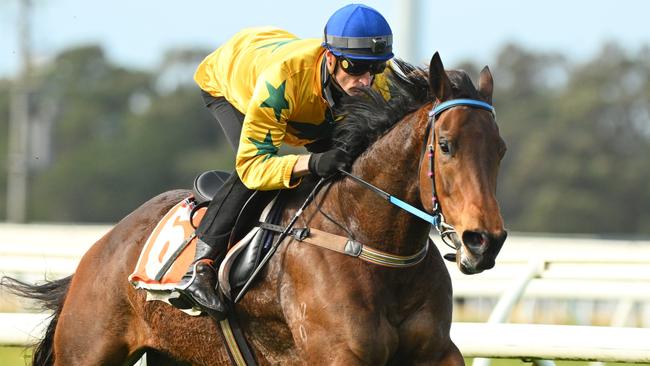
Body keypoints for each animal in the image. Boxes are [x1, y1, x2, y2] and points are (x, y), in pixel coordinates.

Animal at [1, 52, 506, 366]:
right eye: (446, 145)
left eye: (500, 150)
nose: (485, 241)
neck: (367, 241)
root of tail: (102, 246)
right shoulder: (338, 354)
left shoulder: (437, 351)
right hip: (88, 348)